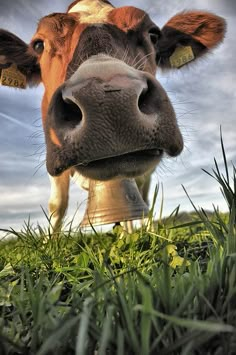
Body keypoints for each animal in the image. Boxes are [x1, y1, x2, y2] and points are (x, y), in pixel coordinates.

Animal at [0, 0, 225, 232]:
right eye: (38, 45)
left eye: (153, 34)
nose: (112, 103)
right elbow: (57, 206)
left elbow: (143, 201)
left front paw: (148, 235)